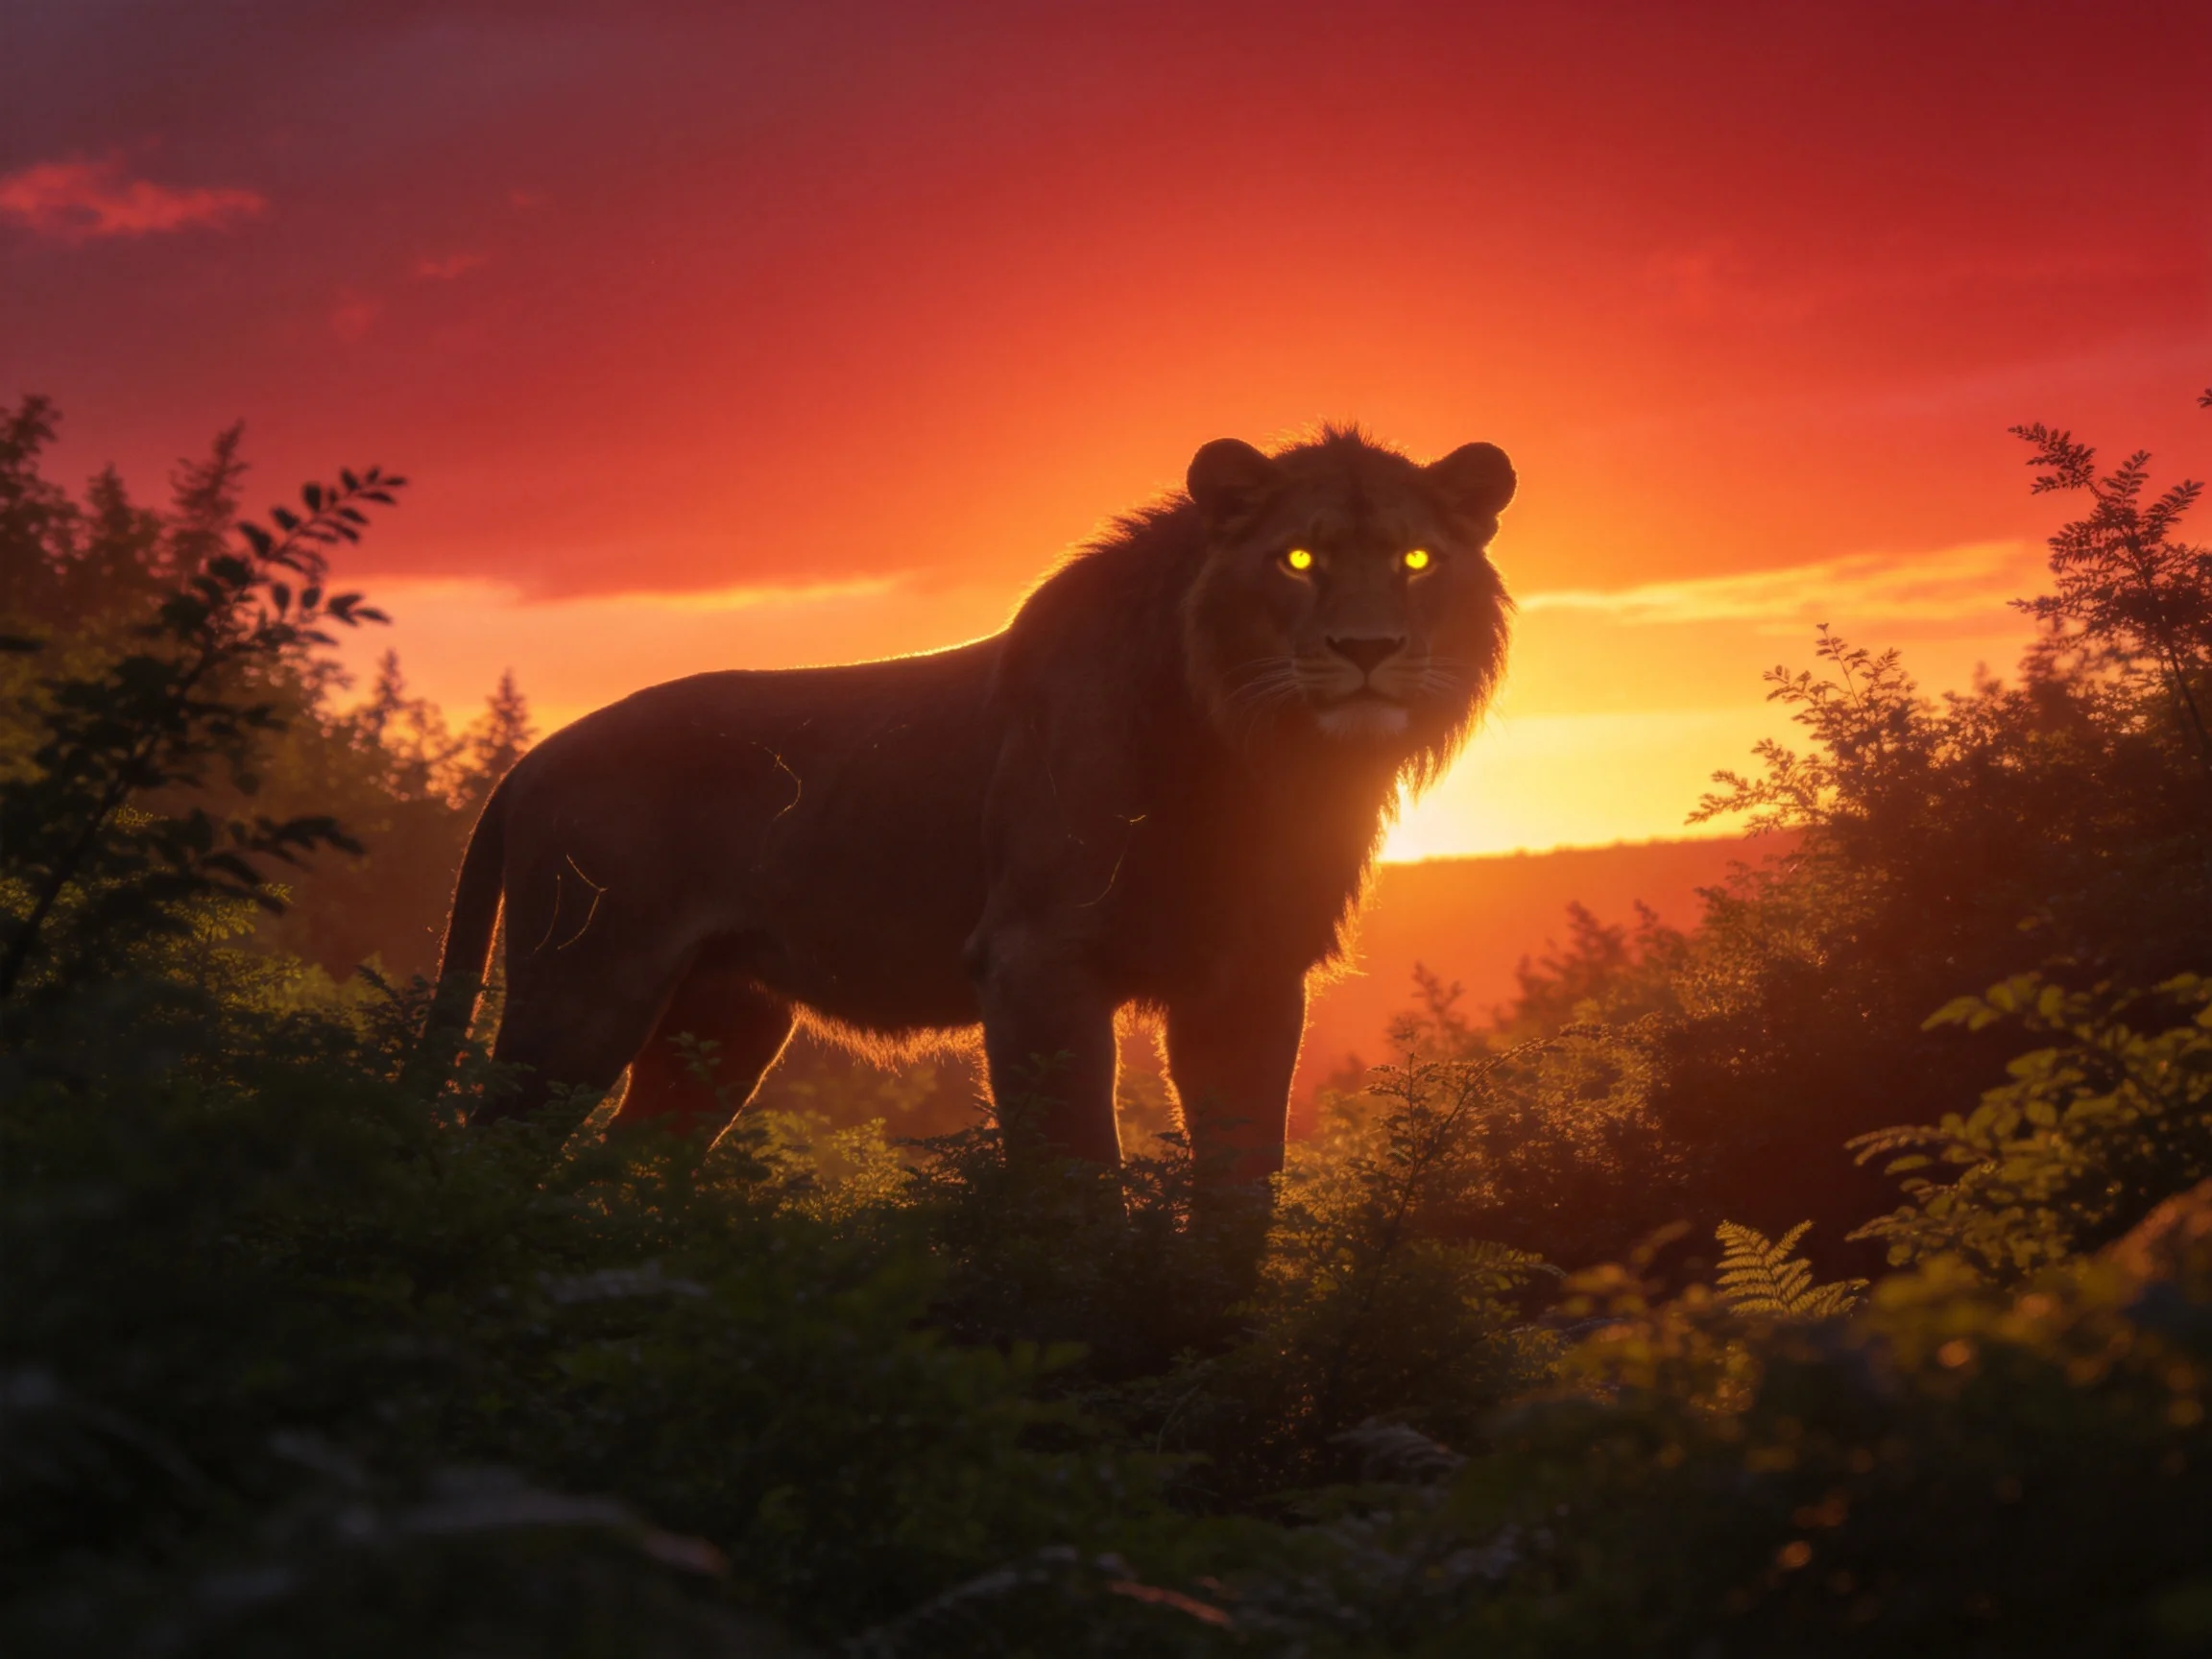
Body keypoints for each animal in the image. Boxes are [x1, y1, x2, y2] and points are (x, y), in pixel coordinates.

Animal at [435, 426, 1514, 1184]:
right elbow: (1079, 1181)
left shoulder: (1249, 976)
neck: (1256, 758)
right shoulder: (1036, 958)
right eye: (1297, 561)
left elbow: (1245, 1193)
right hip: (581, 994)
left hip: (721, 1024)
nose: (1368, 650)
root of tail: (530, 761)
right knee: (483, 1160)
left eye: (1418, 561)